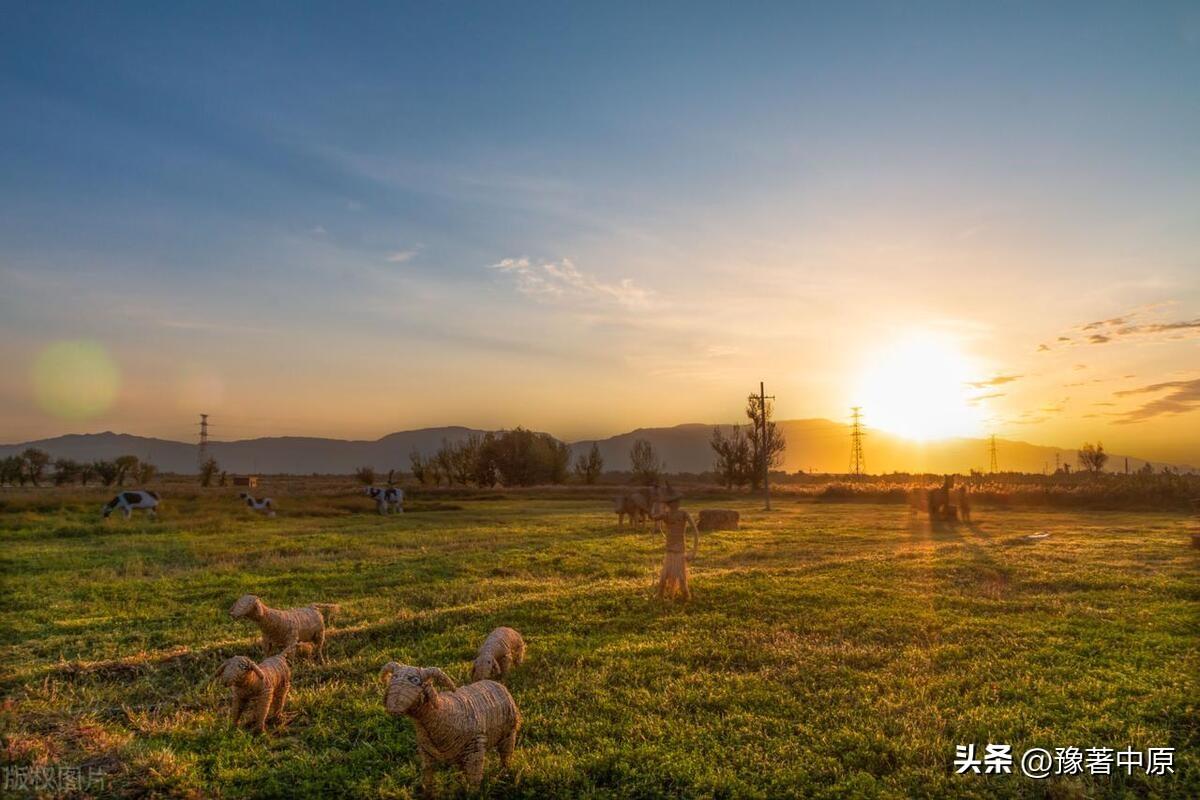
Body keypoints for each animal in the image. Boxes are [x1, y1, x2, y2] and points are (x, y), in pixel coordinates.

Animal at [379, 662, 520, 786]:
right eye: (393, 677)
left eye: (415, 680)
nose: (393, 708)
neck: (443, 711)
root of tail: (494, 682)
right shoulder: (426, 754)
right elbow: (428, 779)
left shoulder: (476, 751)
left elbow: (474, 782)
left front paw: (472, 793)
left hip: (509, 733)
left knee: (506, 755)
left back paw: (504, 773)